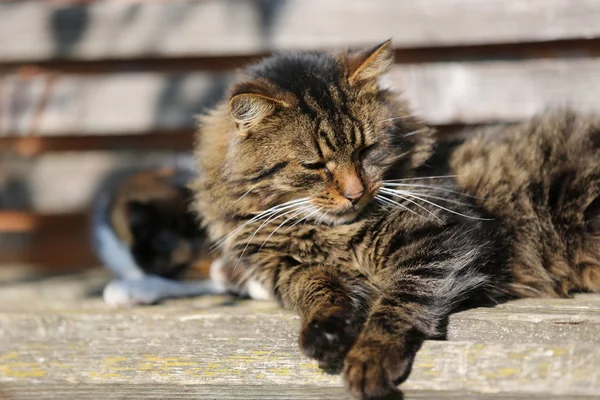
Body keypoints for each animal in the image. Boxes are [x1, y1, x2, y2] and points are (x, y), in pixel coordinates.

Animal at [191, 41, 600, 400]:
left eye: (366, 150)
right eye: (315, 165)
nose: (355, 193)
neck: (331, 232)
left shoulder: (444, 236)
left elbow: (397, 302)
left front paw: (369, 359)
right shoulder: (290, 267)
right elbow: (319, 291)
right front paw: (325, 334)